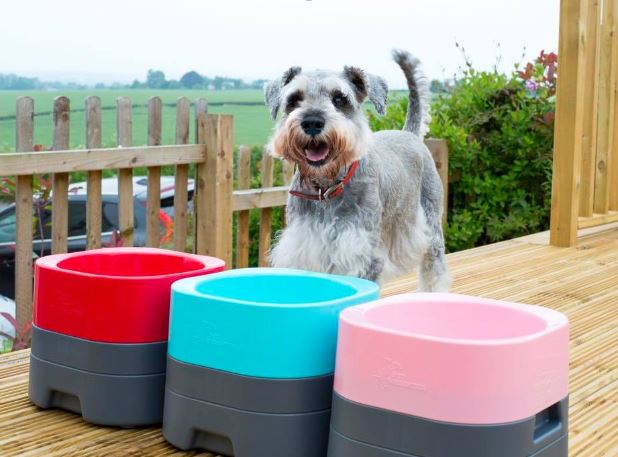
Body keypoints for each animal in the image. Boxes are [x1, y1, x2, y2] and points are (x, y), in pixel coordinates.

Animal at [262, 49, 450, 292]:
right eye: (294, 99)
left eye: (339, 98)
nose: (312, 122)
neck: (326, 187)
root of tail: (409, 133)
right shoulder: (303, 249)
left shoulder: (363, 255)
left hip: (430, 226)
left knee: (434, 270)